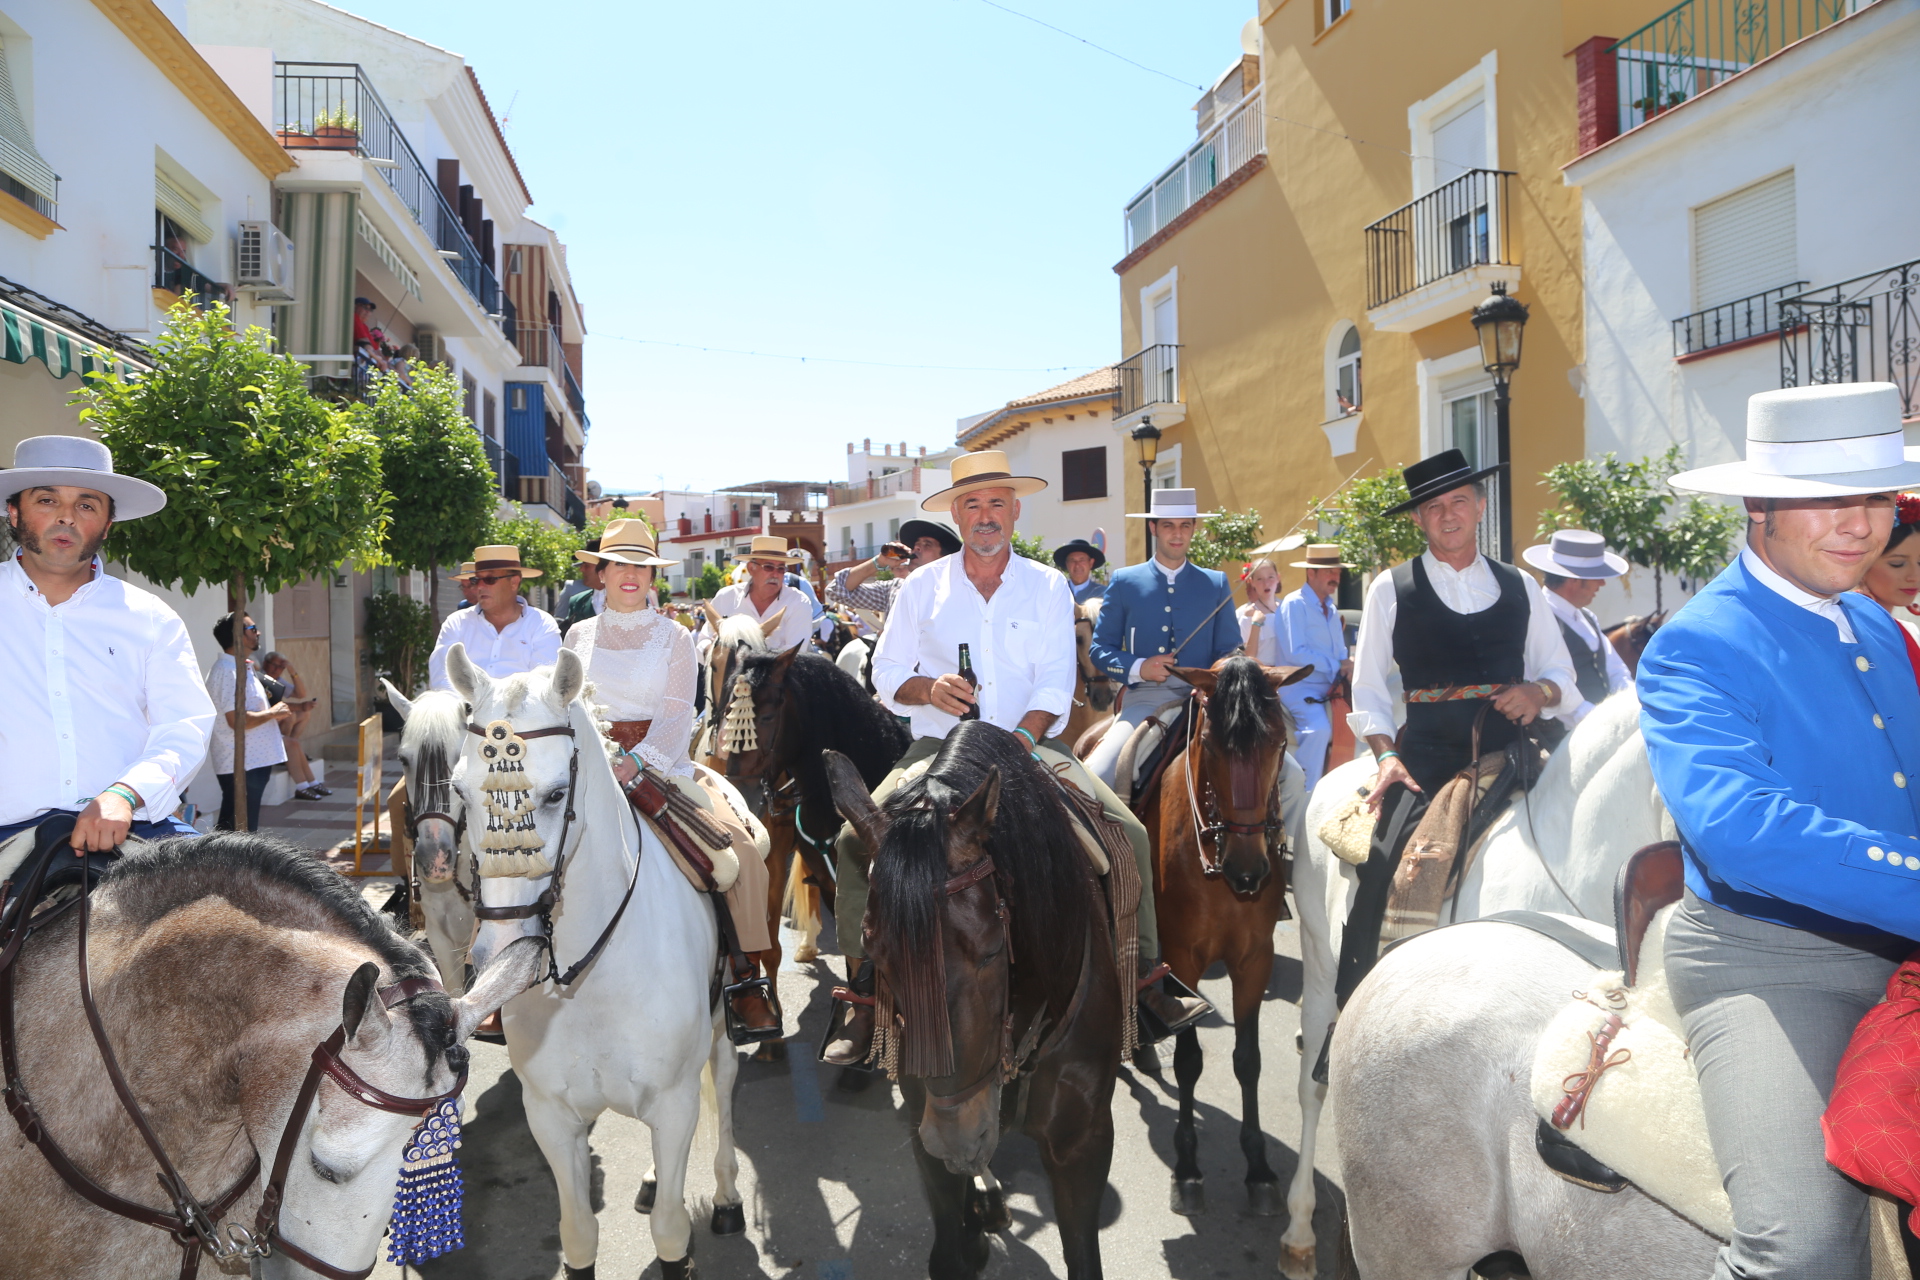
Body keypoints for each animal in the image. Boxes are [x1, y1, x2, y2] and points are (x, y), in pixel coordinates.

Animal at [449, 652, 741, 1280]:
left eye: (557, 794)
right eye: (459, 789)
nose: (500, 949)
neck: (590, 982)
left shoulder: (675, 1104)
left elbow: (671, 1233)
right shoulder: (551, 1115)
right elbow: (579, 1234)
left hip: (725, 1018)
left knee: (726, 1077)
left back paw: (729, 1194)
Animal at [817, 721, 1121, 1280]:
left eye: (992, 950)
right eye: (874, 950)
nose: (956, 1140)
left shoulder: (1082, 1143)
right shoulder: (925, 1118)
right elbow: (947, 1252)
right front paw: (972, 1224)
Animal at [1136, 660, 1305, 1220]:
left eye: (1278, 742)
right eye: (1210, 744)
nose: (1248, 871)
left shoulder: (1254, 958)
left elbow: (1248, 1061)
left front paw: (1259, 1170)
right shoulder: (1182, 959)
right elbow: (1190, 1062)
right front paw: (1187, 1168)